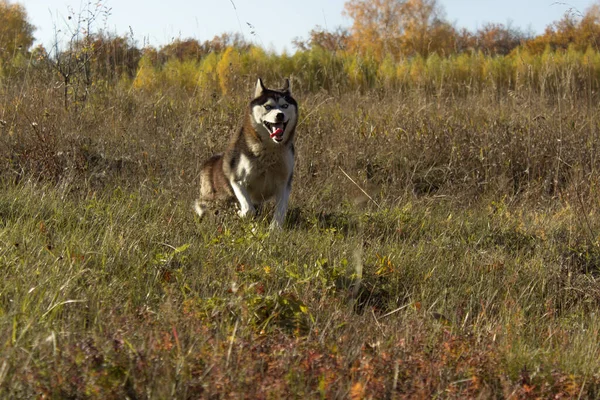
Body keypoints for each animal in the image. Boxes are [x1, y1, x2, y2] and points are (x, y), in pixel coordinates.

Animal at [195, 78, 298, 230]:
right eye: (268, 106)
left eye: (285, 105)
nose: (280, 115)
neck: (270, 151)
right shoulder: (237, 180)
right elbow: (249, 210)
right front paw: (242, 213)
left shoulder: (284, 183)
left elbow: (280, 213)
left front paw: (274, 230)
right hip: (212, 199)